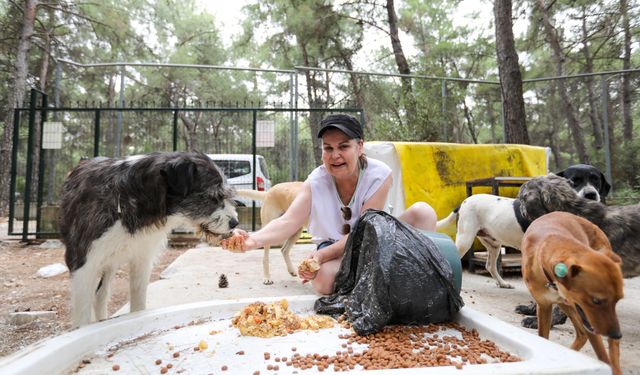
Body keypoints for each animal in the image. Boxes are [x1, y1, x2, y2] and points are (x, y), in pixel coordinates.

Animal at [436, 163, 608, 290]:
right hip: (465, 239)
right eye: (574, 181)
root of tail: (464, 202)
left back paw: (502, 283)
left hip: (494, 244)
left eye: (596, 180)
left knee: (490, 266)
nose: (591, 195)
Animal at [524, 213, 624, 374]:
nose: (617, 333)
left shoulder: (590, 322)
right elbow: (543, 337)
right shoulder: (544, 306)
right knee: (582, 334)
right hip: (566, 306)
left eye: (618, 299)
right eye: (596, 301)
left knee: (606, 345)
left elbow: (604, 357)